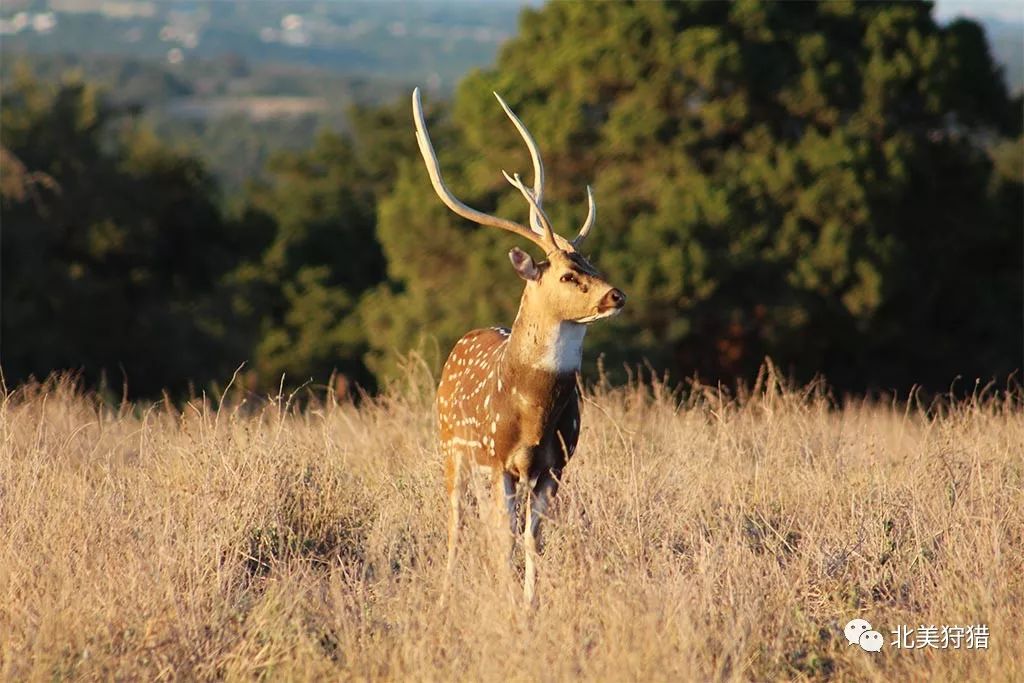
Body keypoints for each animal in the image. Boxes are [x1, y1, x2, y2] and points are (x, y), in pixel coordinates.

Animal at [409, 88, 622, 606]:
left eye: (593, 265)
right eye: (567, 275)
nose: (616, 295)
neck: (532, 413)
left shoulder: (556, 465)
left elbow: (533, 537)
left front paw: (529, 603)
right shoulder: (496, 460)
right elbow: (501, 534)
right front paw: (504, 600)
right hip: (450, 445)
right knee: (456, 522)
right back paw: (446, 590)